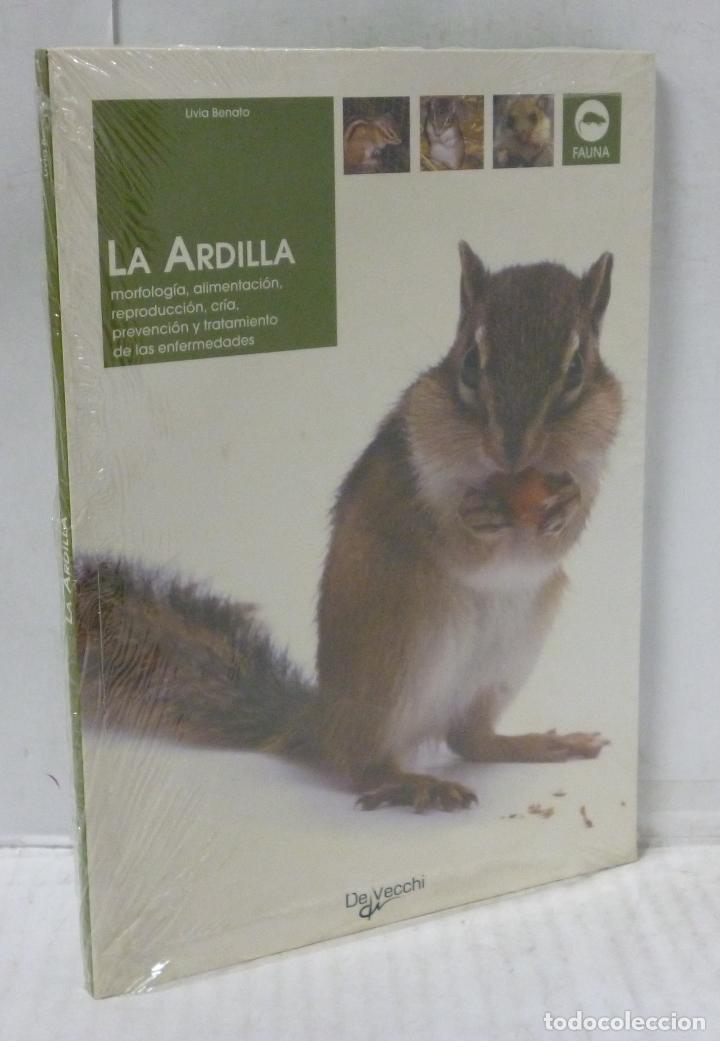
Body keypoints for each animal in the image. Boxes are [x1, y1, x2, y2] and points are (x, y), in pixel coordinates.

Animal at [76, 243, 622, 813]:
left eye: (576, 369)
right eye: (471, 363)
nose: (512, 452)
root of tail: (320, 722)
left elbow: (566, 529)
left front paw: (566, 505)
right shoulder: (415, 473)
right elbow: (450, 538)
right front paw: (474, 518)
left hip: (506, 658)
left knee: (469, 738)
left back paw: (537, 743)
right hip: (399, 653)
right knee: (362, 765)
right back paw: (412, 782)